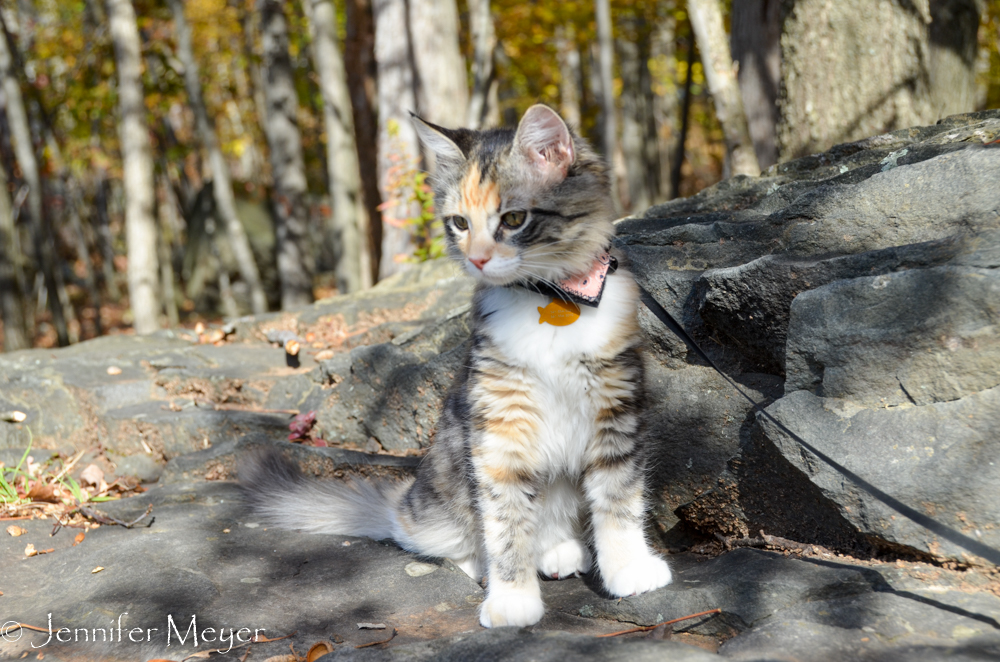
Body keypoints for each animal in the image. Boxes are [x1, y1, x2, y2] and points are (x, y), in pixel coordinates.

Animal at [239, 104, 672, 628]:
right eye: (461, 223)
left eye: (513, 218)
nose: (477, 260)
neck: (550, 297)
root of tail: (405, 499)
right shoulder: (500, 432)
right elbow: (506, 527)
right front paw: (512, 599)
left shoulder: (616, 411)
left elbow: (618, 503)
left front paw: (629, 568)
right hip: (437, 505)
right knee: (443, 540)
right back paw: (491, 567)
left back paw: (559, 552)